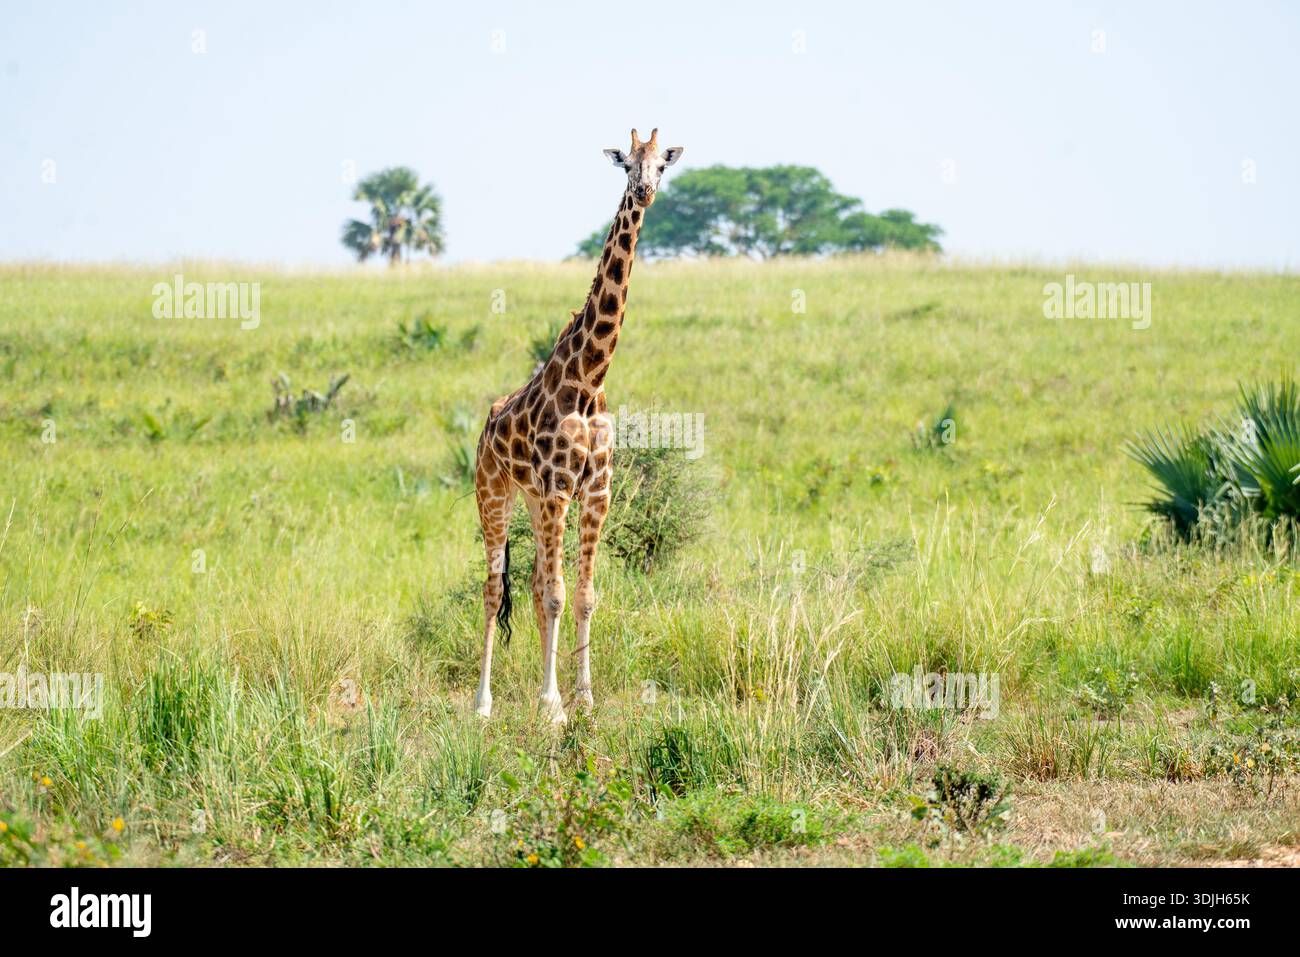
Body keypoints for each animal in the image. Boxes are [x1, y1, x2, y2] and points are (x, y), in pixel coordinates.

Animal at [472, 128, 684, 724]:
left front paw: (582, 698)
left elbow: (581, 594)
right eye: (627, 163)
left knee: (534, 580)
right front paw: (553, 705)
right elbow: (557, 594)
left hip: (531, 498)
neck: (589, 379)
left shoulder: (594, 490)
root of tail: (485, 429)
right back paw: (482, 703)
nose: (645, 190)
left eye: (662, 163)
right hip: (493, 494)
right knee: (494, 589)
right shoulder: (560, 487)